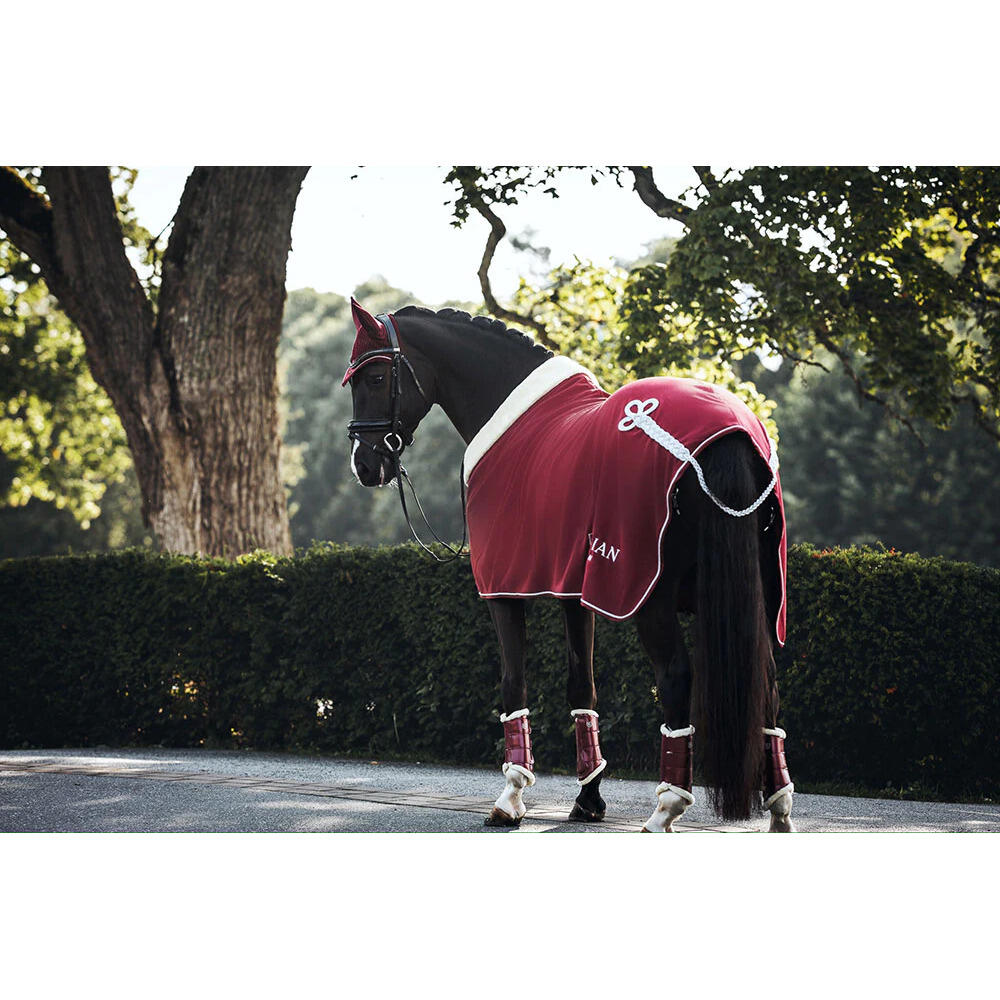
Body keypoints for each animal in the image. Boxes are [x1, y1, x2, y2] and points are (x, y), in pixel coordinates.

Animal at [343, 297, 794, 832]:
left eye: (375, 377)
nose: (365, 465)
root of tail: (731, 436)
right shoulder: (574, 593)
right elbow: (583, 687)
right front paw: (589, 798)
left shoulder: (503, 590)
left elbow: (513, 683)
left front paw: (511, 795)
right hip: (757, 597)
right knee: (766, 680)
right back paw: (779, 807)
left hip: (649, 598)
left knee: (676, 677)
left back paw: (667, 807)